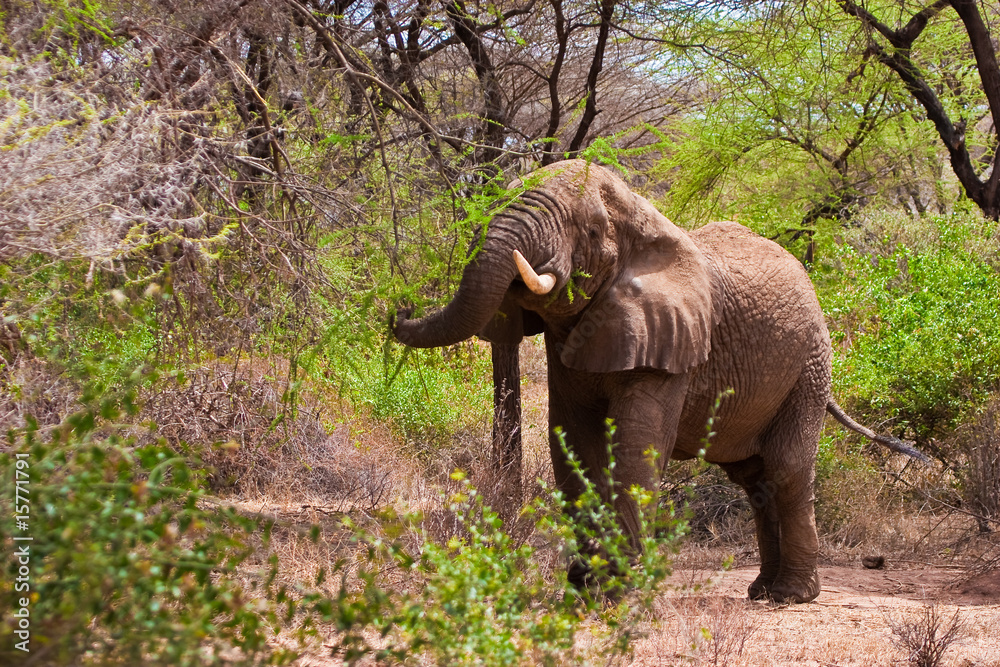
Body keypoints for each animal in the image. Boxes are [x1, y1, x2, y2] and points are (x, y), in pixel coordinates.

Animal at [392, 159, 924, 603]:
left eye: (589, 230)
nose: (401, 305)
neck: (639, 216)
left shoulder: (672, 341)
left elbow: (635, 448)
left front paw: (617, 590)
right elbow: (574, 444)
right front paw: (583, 588)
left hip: (809, 366)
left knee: (786, 468)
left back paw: (790, 597)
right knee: (754, 478)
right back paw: (761, 591)